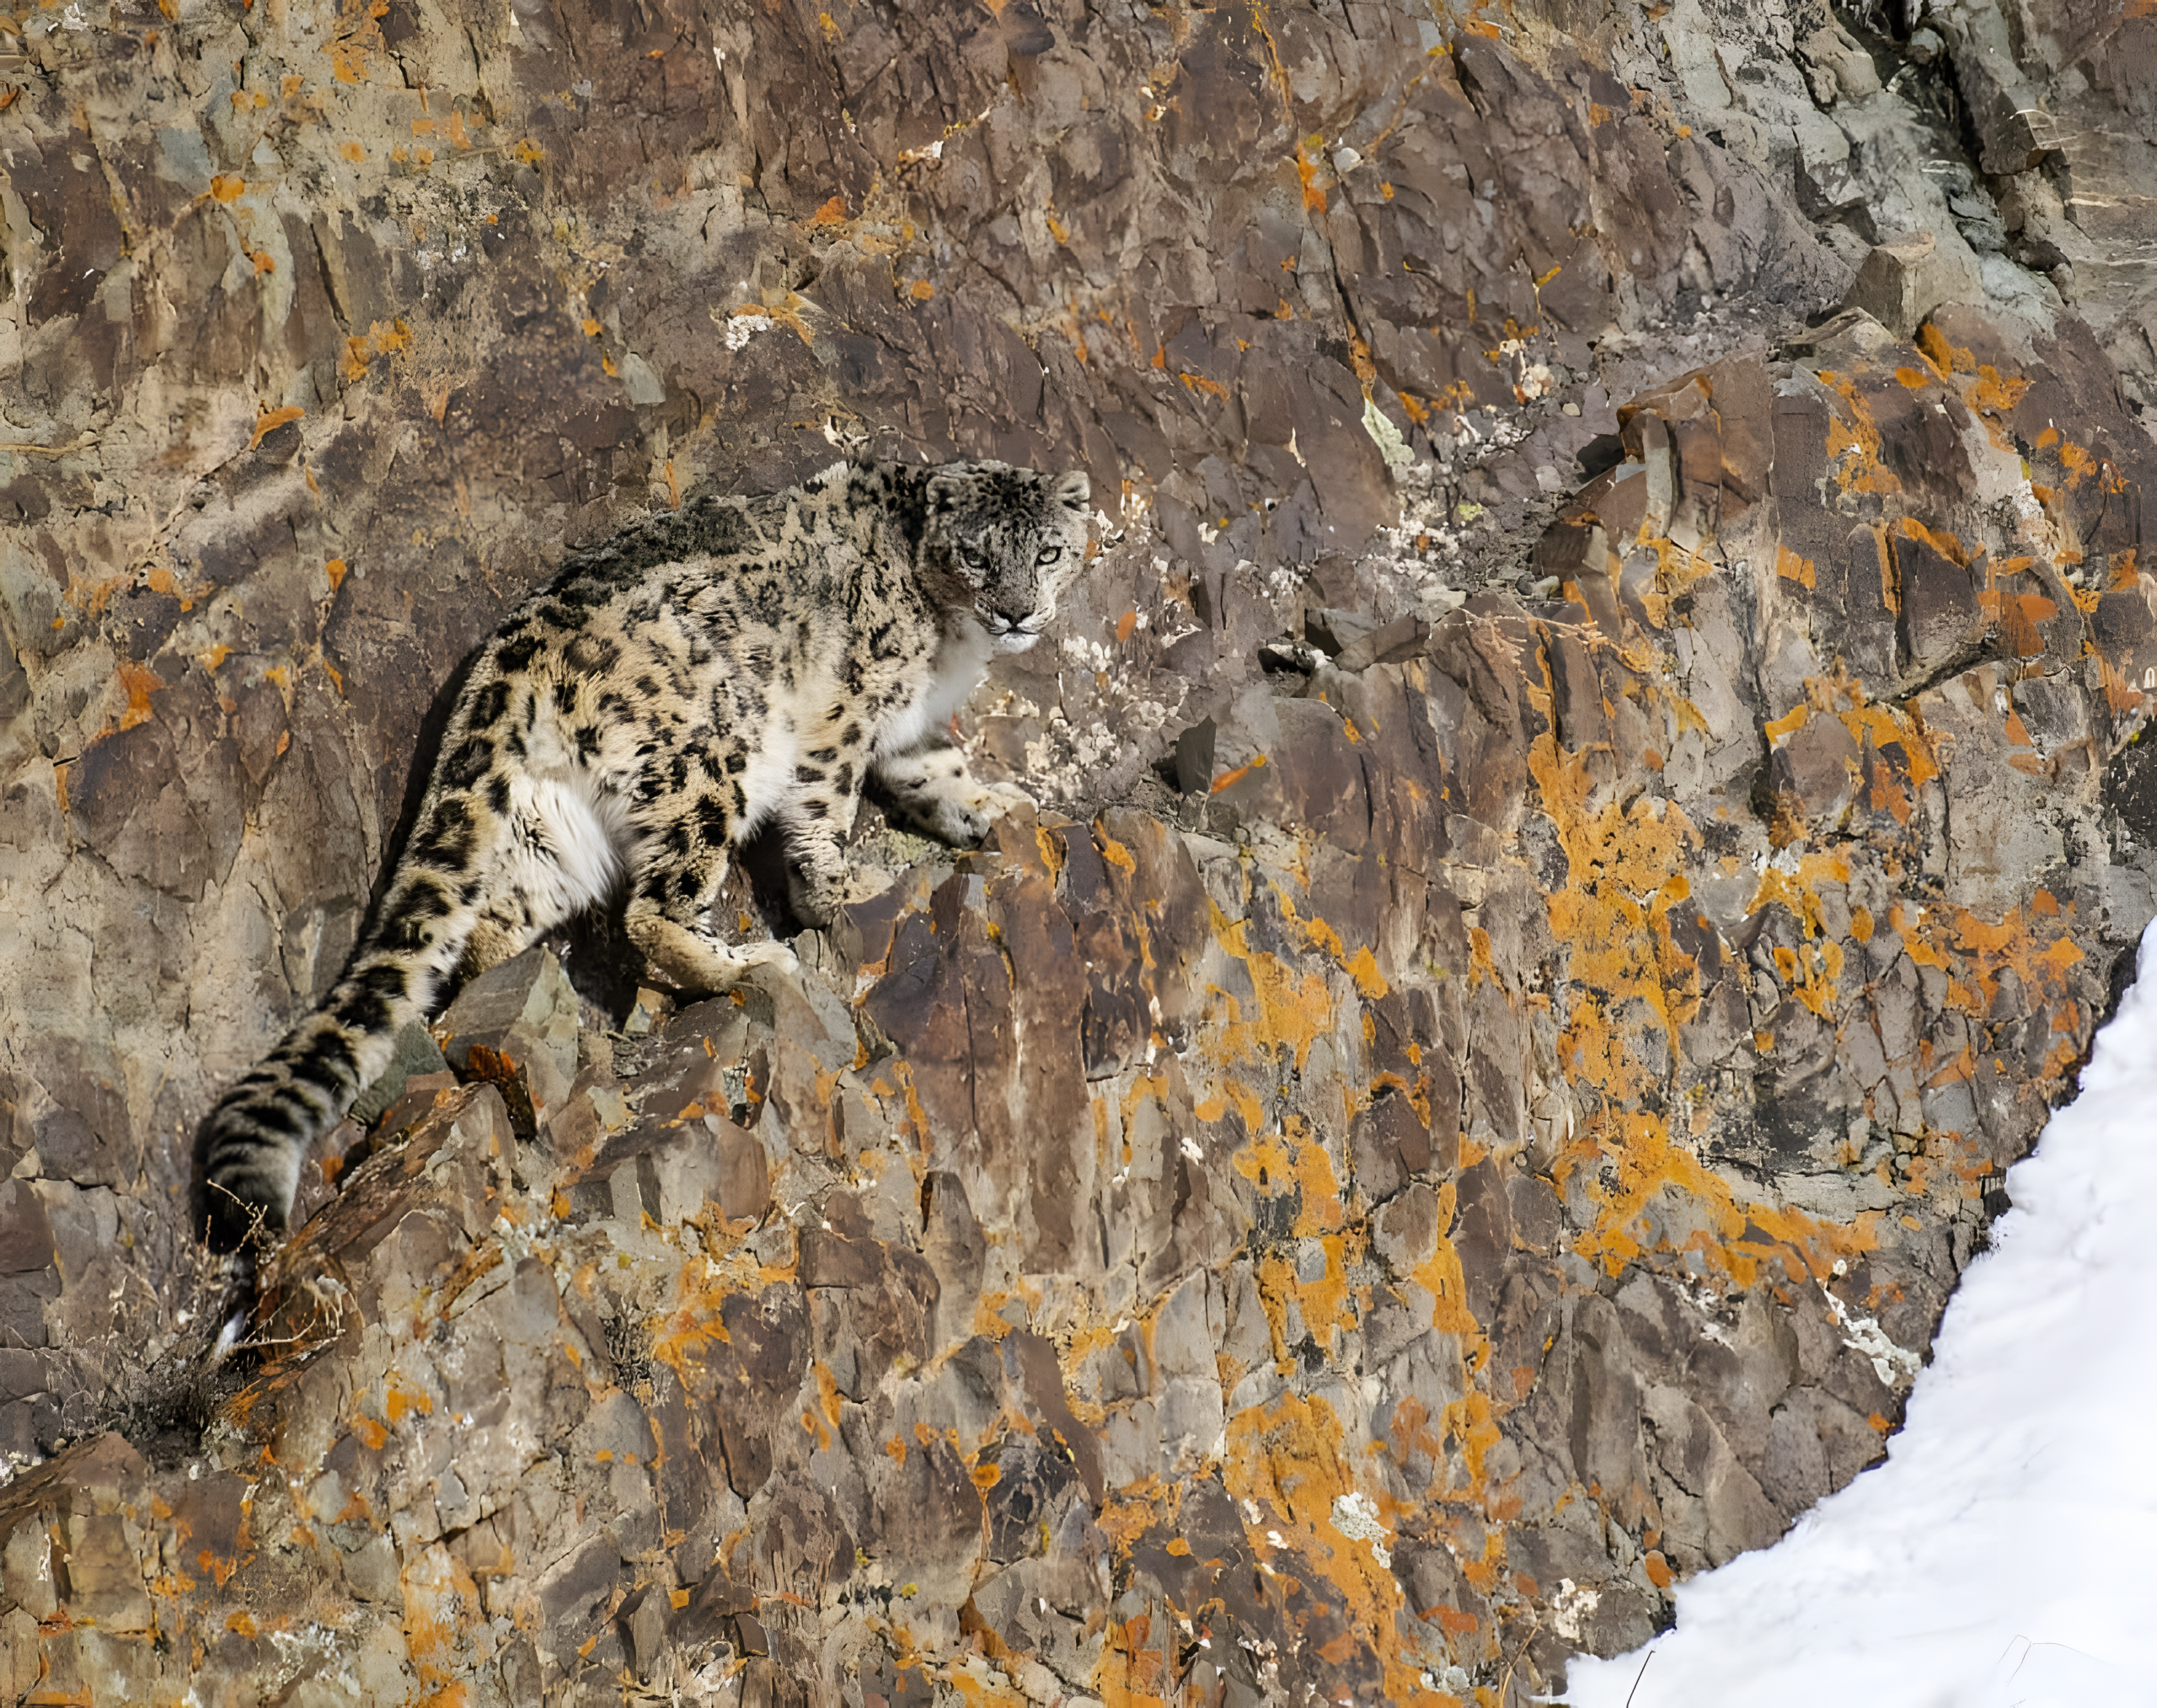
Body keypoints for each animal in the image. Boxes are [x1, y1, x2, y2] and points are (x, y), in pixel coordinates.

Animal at [200, 456, 1091, 1252]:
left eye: (1049, 551)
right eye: (976, 553)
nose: (1017, 613)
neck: (948, 643)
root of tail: (509, 664)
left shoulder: (909, 729)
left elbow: (937, 770)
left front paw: (995, 806)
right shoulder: (843, 713)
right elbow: (825, 806)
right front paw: (840, 887)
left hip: (550, 831)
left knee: (491, 927)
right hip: (708, 760)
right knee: (651, 910)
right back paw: (747, 963)